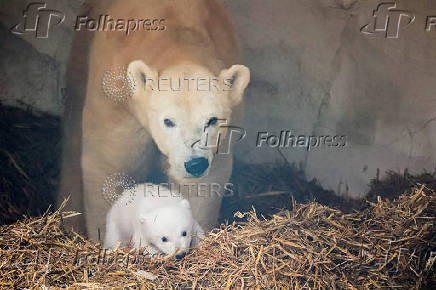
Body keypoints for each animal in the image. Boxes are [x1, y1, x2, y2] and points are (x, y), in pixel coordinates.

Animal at [58, 0, 249, 240]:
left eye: (212, 120)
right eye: (168, 121)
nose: (194, 164)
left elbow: (203, 187)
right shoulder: (116, 100)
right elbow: (110, 167)